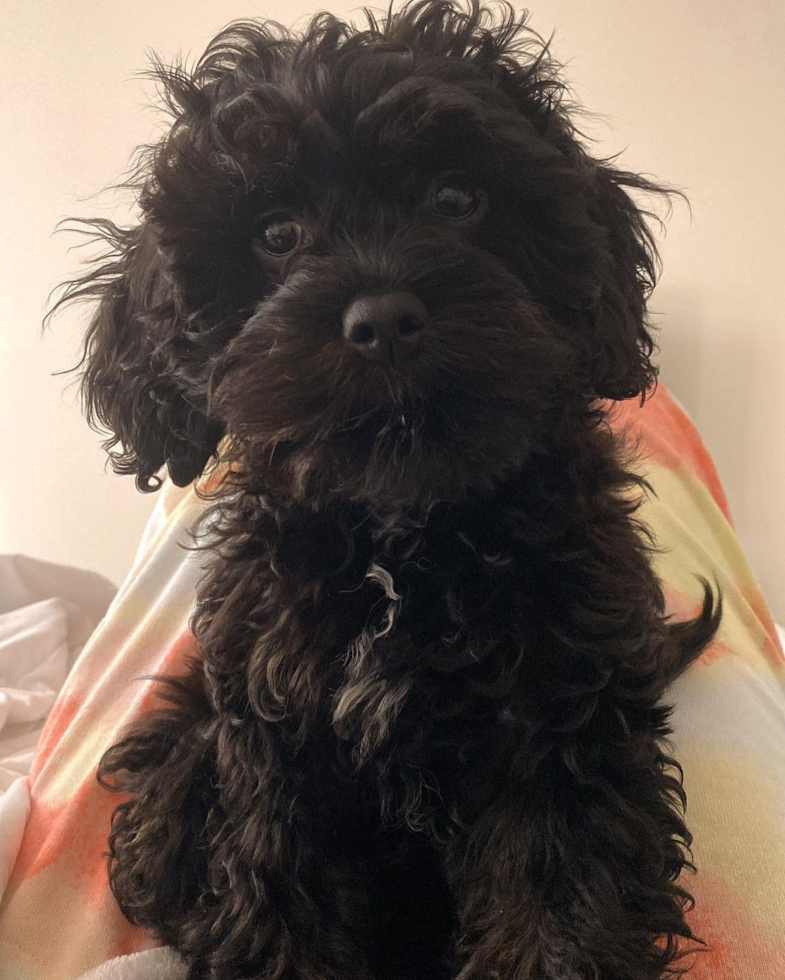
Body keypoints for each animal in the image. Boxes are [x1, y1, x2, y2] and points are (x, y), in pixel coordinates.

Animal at [55, 1, 720, 980]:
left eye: (457, 199)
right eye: (277, 234)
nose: (383, 321)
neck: (399, 540)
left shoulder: (558, 733)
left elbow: (559, 912)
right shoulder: (277, 751)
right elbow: (279, 909)